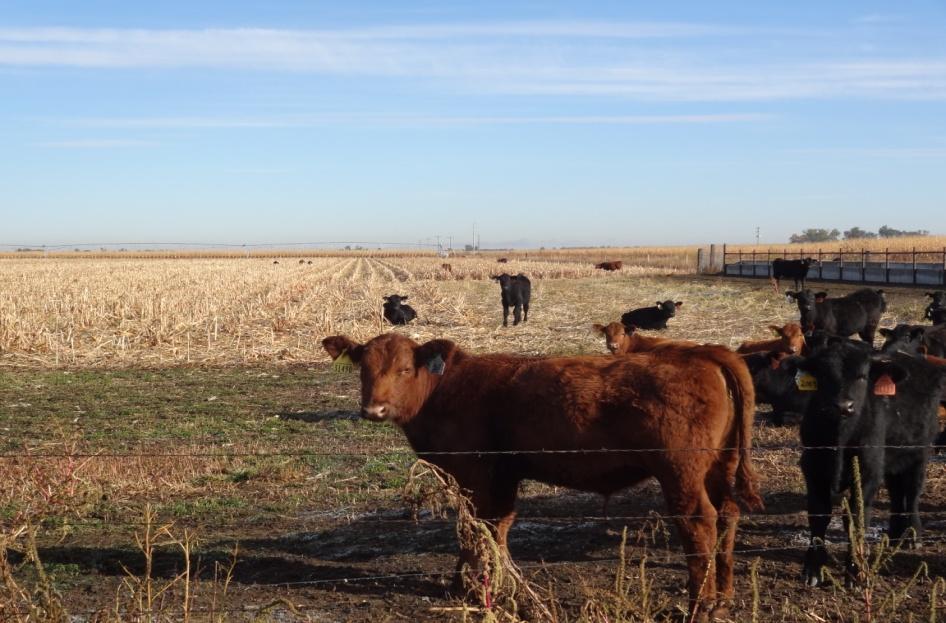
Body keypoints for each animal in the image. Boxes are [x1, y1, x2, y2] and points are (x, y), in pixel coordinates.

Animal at [320, 334, 764, 620]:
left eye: (404, 369)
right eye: (362, 369)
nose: (373, 409)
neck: (446, 389)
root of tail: (705, 353)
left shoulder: (474, 472)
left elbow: (474, 527)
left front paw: (475, 585)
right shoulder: (501, 476)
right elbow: (493, 528)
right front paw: (488, 583)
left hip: (680, 473)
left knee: (699, 524)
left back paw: (699, 608)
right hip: (719, 467)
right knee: (728, 515)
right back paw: (723, 600)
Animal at [796, 338, 944, 588]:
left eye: (863, 376)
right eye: (823, 375)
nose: (843, 406)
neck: (841, 437)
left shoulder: (867, 473)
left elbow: (856, 519)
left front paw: (856, 572)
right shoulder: (813, 468)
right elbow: (819, 515)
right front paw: (813, 569)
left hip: (919, 453)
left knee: (912, 492)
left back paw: (912, 534)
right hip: (892, 460)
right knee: (897, 494)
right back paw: (894, 534)